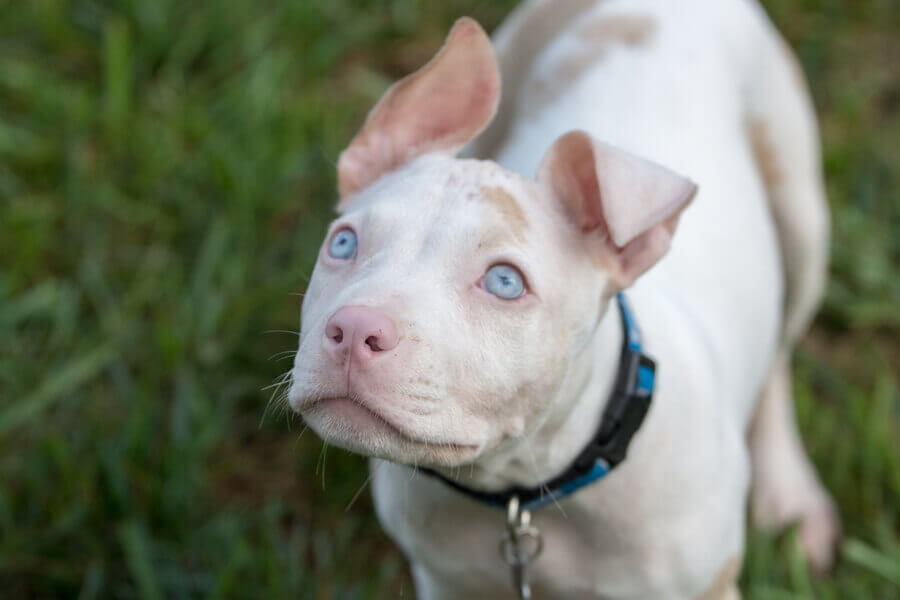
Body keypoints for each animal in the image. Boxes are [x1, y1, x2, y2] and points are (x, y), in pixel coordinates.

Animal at [292, 2, 840, 596]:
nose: (352, 330)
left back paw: (788, 490)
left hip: (802, 217)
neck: (525, 491)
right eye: (342, 244)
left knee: (780, 351)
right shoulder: (443, 579)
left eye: (505, 282)